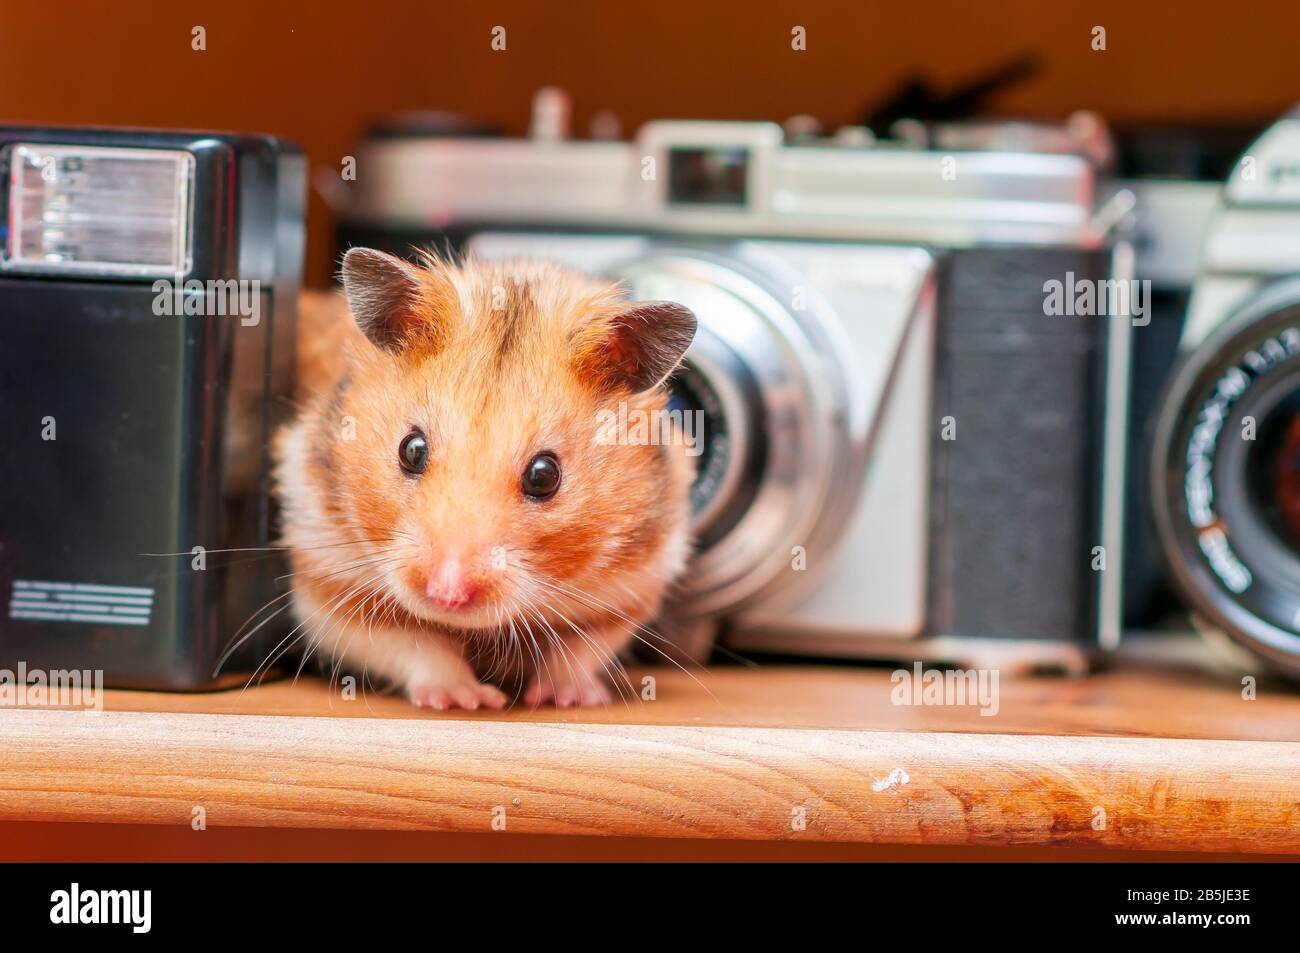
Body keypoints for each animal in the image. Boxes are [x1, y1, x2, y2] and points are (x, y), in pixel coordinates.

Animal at [275, 249, 702, 712]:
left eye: (544, 475)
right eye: (411, 449)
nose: (446, 595)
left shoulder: (630, 589)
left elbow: (578, 652)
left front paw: (565, 699)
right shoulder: (327, 583)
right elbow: (416, 646)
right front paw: (467, 699)